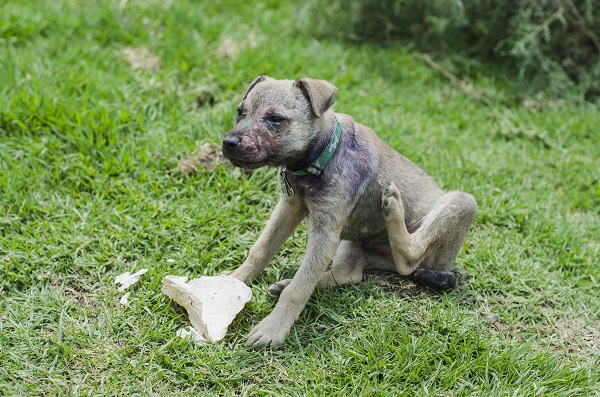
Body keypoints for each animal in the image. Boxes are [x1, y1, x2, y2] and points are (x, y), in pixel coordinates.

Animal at [220, 76, 478, 344]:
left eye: (274, 119)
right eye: (240, 112)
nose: (228, 143)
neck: (321, 156)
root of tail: (444, 269)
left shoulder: (324, 233)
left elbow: (299, 289)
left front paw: (273, 328)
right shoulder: (289, 209)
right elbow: (260, 250)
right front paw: (234, 280)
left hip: (462, 202)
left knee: (409, 259)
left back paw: (394, 207)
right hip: (352, 242)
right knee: (349, 274)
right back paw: (286, 283)